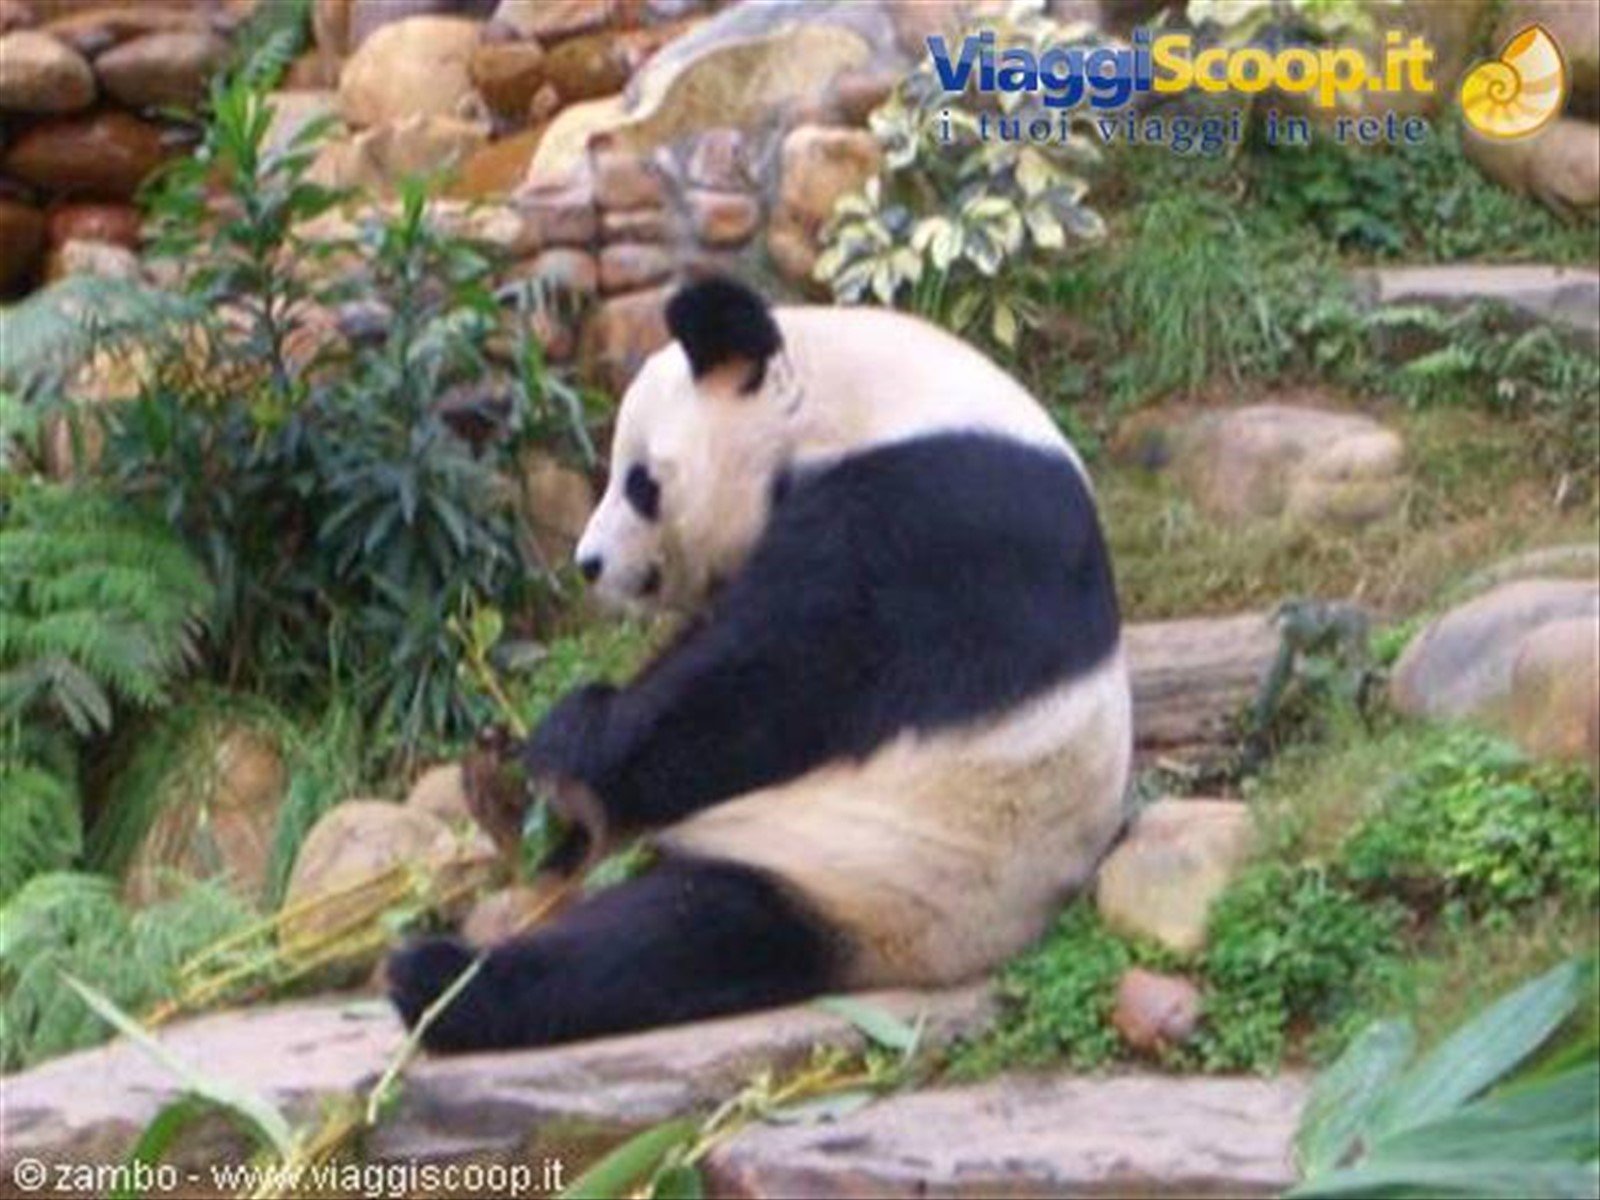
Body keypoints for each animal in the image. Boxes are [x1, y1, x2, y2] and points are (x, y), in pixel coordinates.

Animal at [388, 276, 1132, 1052]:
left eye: (640, 483)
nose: (589, 564)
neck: (866, 405)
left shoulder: (927, 518)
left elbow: (768, 683)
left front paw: (566, 736)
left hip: (863, 871)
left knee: (669, 937)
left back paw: (439, 980)